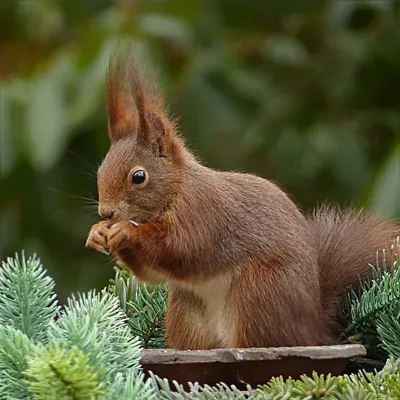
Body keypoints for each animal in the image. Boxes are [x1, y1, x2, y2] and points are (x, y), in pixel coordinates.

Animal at [86, 50, 398, 350]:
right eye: (100, 171)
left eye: (139, 176)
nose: (106, 212)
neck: (176, 189)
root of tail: (312, 329)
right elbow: (152, 275)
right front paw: (97, 233)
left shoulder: (202, 212)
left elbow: (181, 247)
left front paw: (126, 231)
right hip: (186, 311)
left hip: (259, 292)